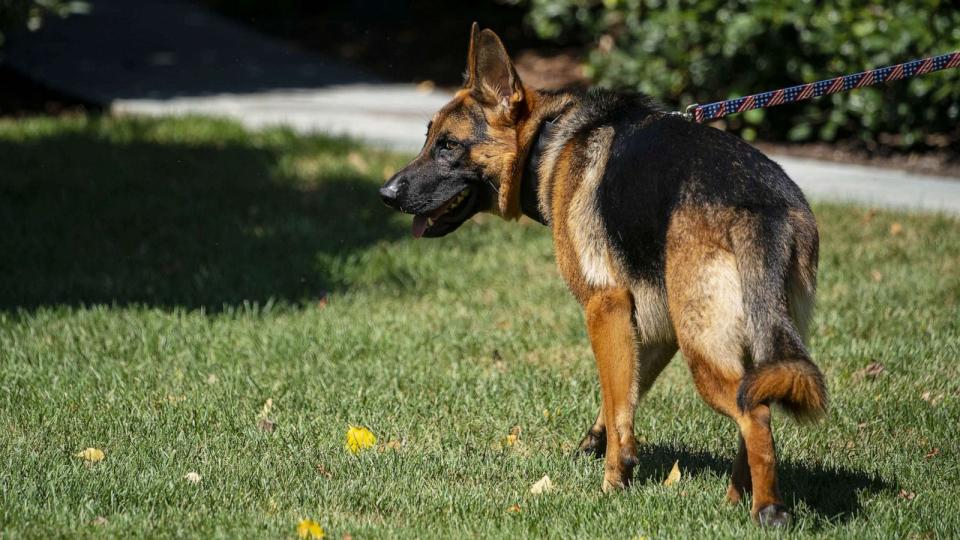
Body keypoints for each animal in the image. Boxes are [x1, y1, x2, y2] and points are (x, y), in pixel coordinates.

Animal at [378, 25, 828, 528]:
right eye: (428, 139)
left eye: (448, 146)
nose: (385, 194)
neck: (546, 141)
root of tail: (764, 208)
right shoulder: (653, 325)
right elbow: (625, 398)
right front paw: (598, 447)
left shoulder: (604, 307)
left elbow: (617, 407)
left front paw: (613, 481)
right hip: (743, 341)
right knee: (754, 402)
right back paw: (735, 500)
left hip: (703, 348)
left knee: (756, 415)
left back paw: (767, 508)